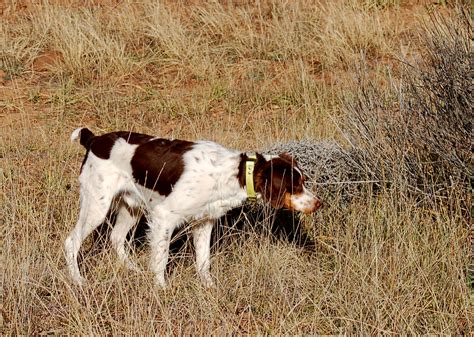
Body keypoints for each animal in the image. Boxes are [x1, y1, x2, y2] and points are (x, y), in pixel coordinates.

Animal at [64, 128, 322, 286]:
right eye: (295, 186)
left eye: (303, 181)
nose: (318, 204)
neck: (234, 173)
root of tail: (94, 139)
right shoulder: (164, 217)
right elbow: (161, 259)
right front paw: (161, 288)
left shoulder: (204, 222)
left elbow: (203, 260)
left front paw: (208, 286)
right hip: (97, 206)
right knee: (71, 242)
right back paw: (78, 280)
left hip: (131, 207)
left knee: (116, 237)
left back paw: (132, 269)